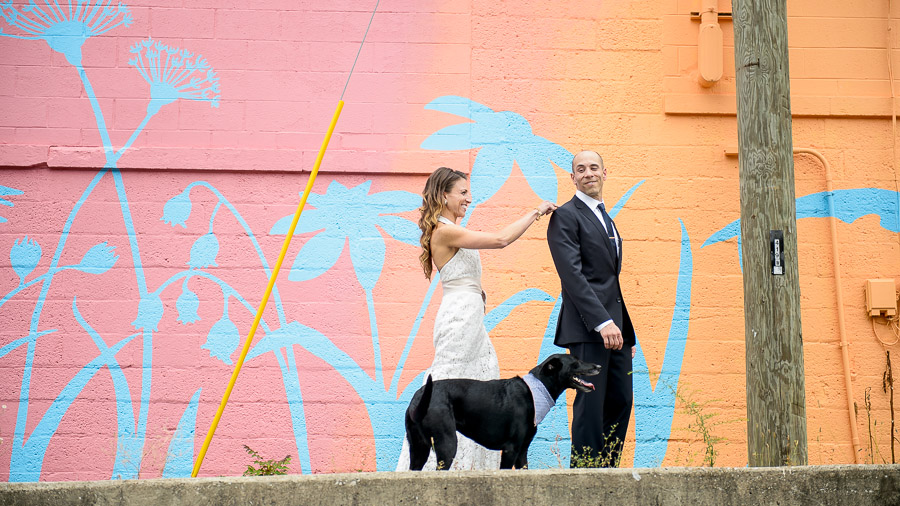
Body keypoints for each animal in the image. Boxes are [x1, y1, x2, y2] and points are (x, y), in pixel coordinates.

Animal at [404, 352, 600, 470]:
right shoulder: (510, 450)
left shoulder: (522, 451)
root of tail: (418, 396)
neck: (534, 391)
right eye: (576, 363)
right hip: (447, 443)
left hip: (419, 448)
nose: (598, 366)